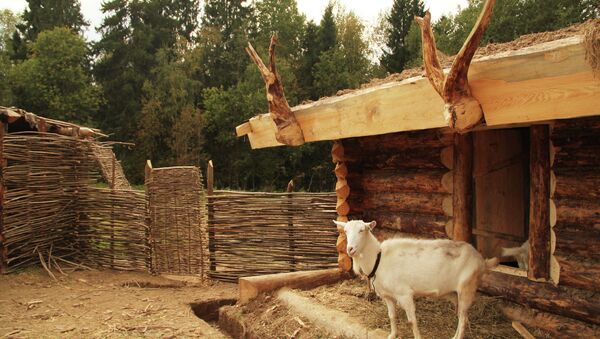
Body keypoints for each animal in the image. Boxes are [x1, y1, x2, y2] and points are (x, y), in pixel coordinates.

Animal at [336, 220, 500, 339]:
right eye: (345, 231)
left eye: (362, 230)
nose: (350, 249)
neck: (378, 259)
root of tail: (481, 261)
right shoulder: (388, 296)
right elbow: (392, 316)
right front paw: (392, 335)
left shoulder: (405, 294)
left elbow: (412, 320)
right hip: (456, 294)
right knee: (462, 316)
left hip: (467, 288)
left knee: (464, 318)